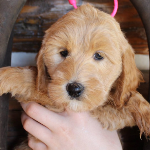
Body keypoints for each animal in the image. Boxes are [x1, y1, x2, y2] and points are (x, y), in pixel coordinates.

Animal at [0, 4, 150, 149]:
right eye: (63, 53)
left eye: (99, 55)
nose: (74, 89)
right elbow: (34, 80)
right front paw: (6, 76)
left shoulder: (103, 113)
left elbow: (125, 103)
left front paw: (144, 112)